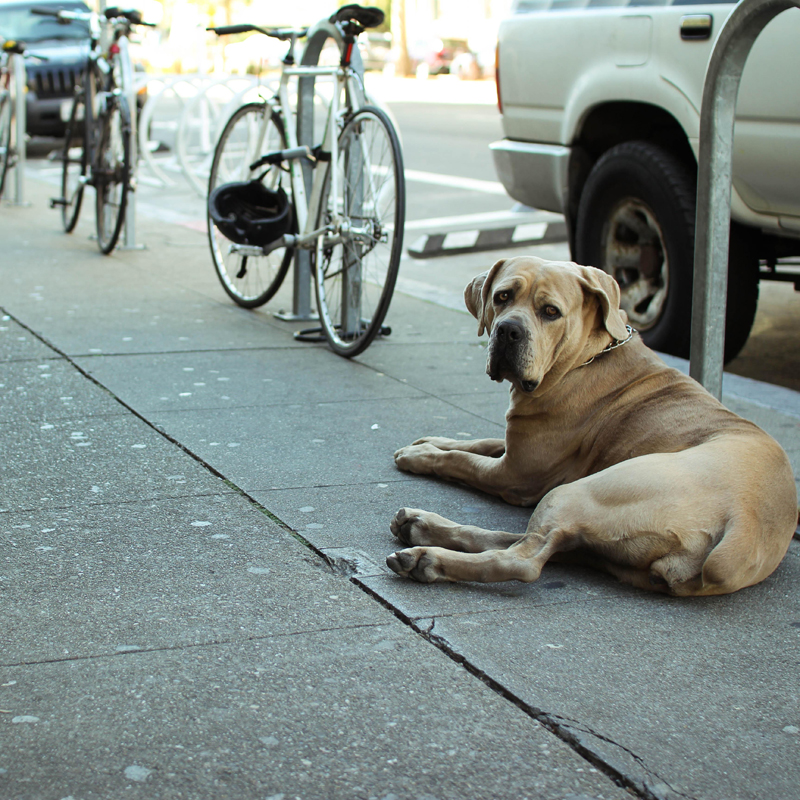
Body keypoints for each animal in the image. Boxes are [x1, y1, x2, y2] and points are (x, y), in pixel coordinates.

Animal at [386, 255, 792, 592]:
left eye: (550, 311)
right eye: (502, 297)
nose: (508, 330)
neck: (586, 357)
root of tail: (744, 523)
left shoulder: (514, 474)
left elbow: (464, 461)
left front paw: (422, 457)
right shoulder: (518, 446)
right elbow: (480, 442)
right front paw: (429, 442)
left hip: (579, 492)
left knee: (523, 559)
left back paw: (427, 557)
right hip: (606, 545)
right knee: (538, 543)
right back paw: (421, 526)